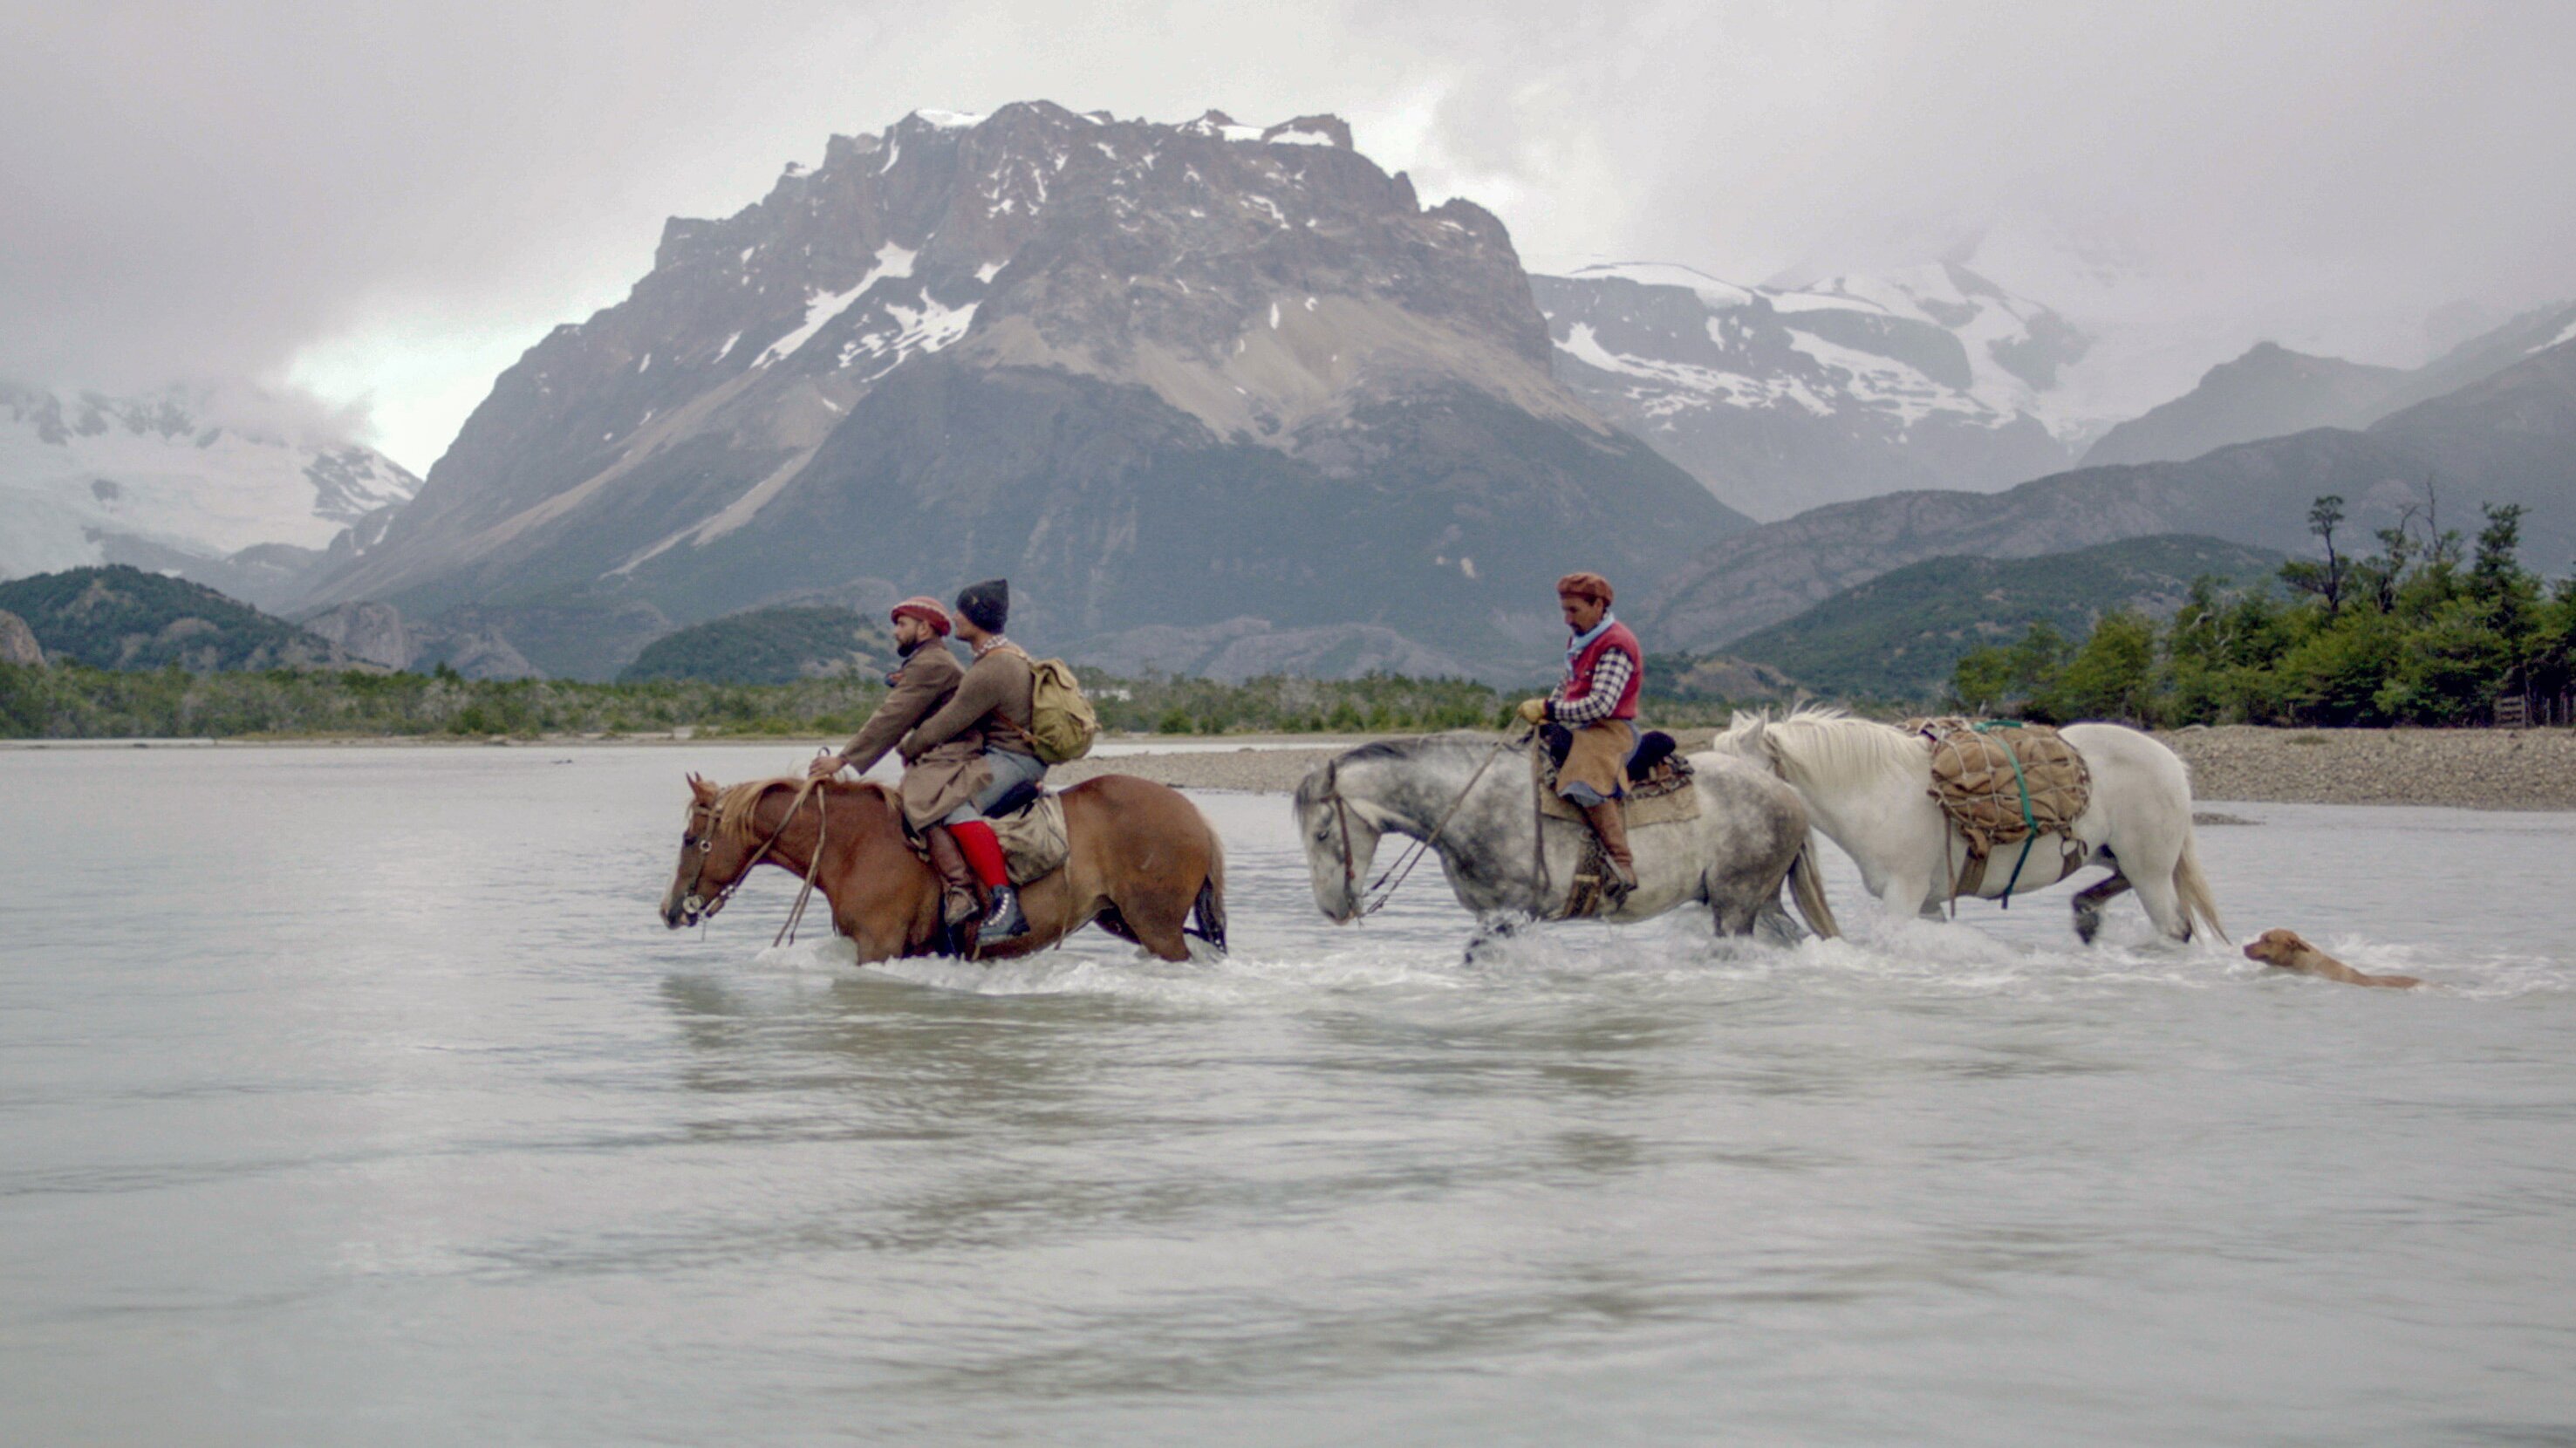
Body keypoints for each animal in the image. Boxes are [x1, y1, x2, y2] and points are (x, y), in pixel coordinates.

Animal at [659, 773, 1231, 963]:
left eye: (689, 839)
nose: (669, 910)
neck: (856, 843)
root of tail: (1195, 815)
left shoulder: (878, 947)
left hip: (1156, 928)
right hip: (1125, 921)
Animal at [1288, 726, 1834, 943]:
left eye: (1322, 833)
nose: (1331, 909)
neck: (1473, 800)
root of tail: (1786, 793)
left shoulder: (1509, 914)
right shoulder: (1492, 916)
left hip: (1737, 904)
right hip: (1758, 902)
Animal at [1710, 706, 2215, 943]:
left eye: (1738, 774)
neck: (1876, 791)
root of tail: (2172, 762)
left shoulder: (1904, 894)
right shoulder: (1929, 901)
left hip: (2151, 870)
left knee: (2174, 926)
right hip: (2120, 859)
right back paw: (2086, 916)